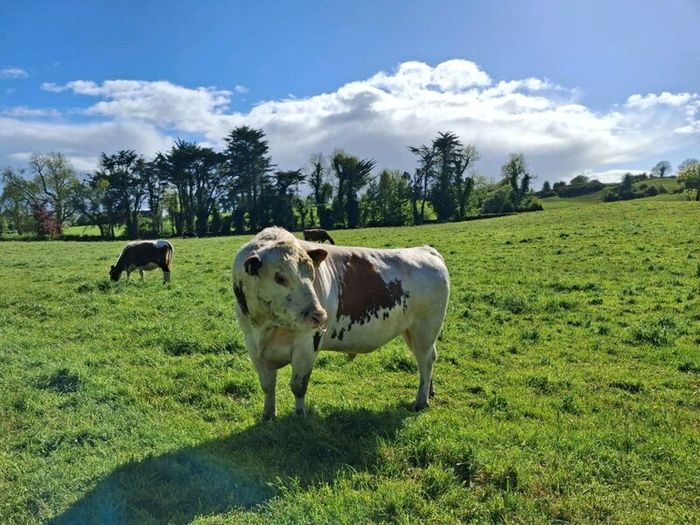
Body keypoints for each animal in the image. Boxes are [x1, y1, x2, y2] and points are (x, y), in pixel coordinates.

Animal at [232, 227, 449, 420]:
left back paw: (421, 401)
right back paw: (430, 392)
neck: (267, 326)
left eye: (312, 274)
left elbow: (298, 386)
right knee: (429, 358)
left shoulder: (307, 344)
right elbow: (268, 386)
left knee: (425, 361)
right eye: (279, 277)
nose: (320, 315)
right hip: (412, 331)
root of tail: (425, 250)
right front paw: (268, 415)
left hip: (425, 329)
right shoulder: (253, 347)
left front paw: (299, 416)